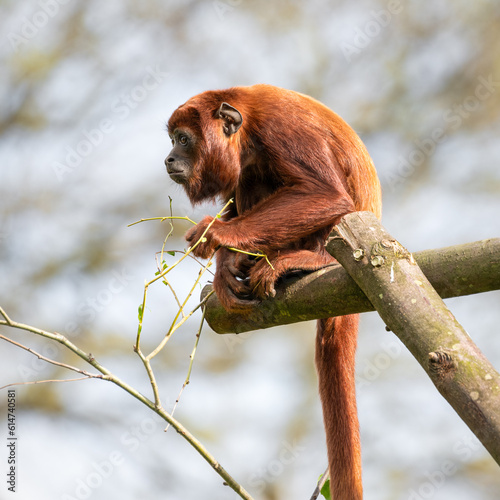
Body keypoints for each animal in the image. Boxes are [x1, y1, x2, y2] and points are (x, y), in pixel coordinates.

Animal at [166, 84, 380, 498]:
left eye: (182, 139)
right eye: (172, 140)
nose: (168, 157)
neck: (247, 124)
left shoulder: (281, 128)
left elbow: (325, 195)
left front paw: (218, 234)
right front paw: (225, 267)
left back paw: (306, 260)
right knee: (248, 179)